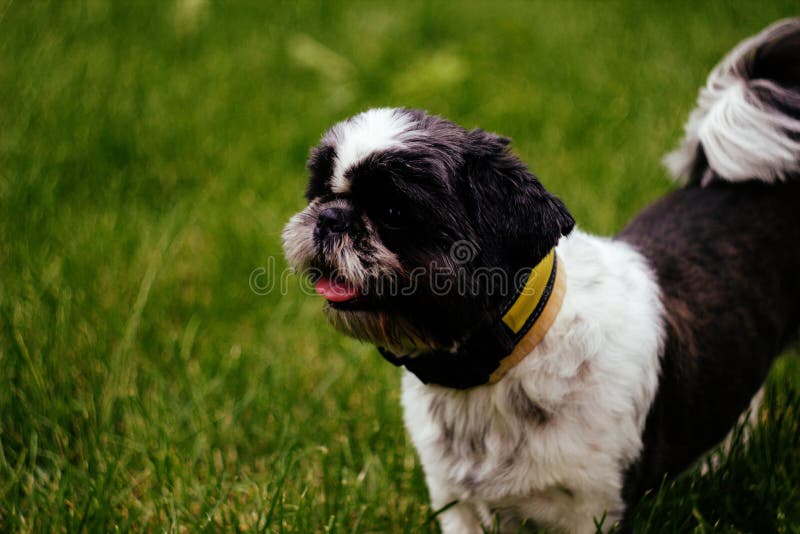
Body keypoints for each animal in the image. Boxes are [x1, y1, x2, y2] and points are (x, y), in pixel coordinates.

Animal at [282, 18, 800, 532]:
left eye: (392, 211)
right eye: (320, 192)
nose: (329, 217)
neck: (495, 368)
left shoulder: (591, 509)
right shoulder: (456, 503)